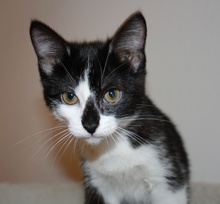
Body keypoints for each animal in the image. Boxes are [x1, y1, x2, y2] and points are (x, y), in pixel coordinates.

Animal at [30, 11, 190, 203]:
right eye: (69, 97)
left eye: (111, 94)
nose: (90, 125)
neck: (114, 148)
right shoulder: (97, 184)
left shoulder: (167, 178)